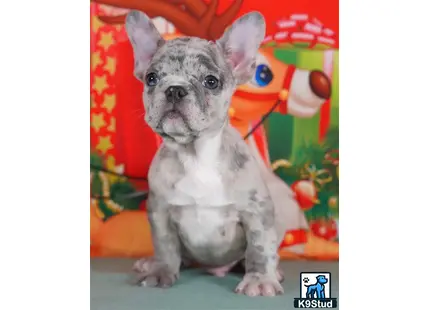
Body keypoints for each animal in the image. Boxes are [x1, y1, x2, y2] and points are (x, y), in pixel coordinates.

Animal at [127, 9, 288, 296]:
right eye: (152, 78)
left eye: (211, 82)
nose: (175, 89)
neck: (195, 155)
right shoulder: (160, 210)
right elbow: (165, 245)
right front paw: (161, 271)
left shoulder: (256, 210)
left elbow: (259, 246)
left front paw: (260, 280)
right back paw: (150, 263)